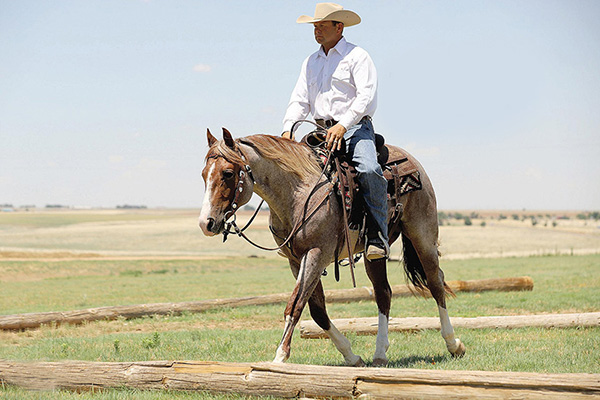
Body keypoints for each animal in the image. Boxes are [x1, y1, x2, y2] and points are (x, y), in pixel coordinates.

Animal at [199, 127, 466, 366]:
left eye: (228, 173)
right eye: (203, 174)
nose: (206, 223)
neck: (299, 192)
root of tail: (413, 162)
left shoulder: (317, 254)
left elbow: (295, 305)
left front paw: (279, 358)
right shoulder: (297, 260)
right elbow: (316, 310)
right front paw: (351, 356)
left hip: (423, 236)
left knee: (435, 282)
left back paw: (453, 344)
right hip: (374, 253)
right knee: (383, 293)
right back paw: (380, 353)